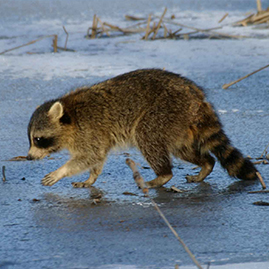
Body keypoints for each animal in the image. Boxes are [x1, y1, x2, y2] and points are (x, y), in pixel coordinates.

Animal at [26, 68, 258, 186]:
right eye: (31, 140)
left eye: (38, 139)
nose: (28, 157)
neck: (70, 115)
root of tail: (197, 97)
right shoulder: (95, 136)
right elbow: (97, 158)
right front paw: (91, 177)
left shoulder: (89, 130)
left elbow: (90, 156)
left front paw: (61, 171)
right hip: (180, 124)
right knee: (182, 149)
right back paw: (206, 164)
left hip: (164, 111)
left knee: (146, 136)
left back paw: (163, 175)